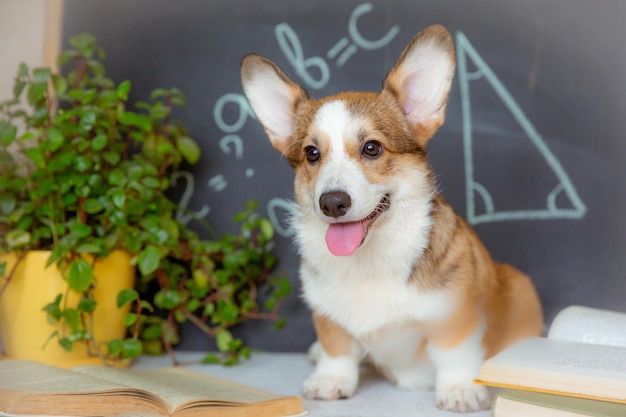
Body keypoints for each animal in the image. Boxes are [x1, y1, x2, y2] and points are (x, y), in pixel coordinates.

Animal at [239, 24, 540, 412]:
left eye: (372, 148)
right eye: (311, 153)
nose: (332, 203)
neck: (370, 260)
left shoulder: (456, 314)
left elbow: (454, 353)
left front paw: (458, 388)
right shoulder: (327, 313)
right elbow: (337, 347)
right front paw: (331, 378)